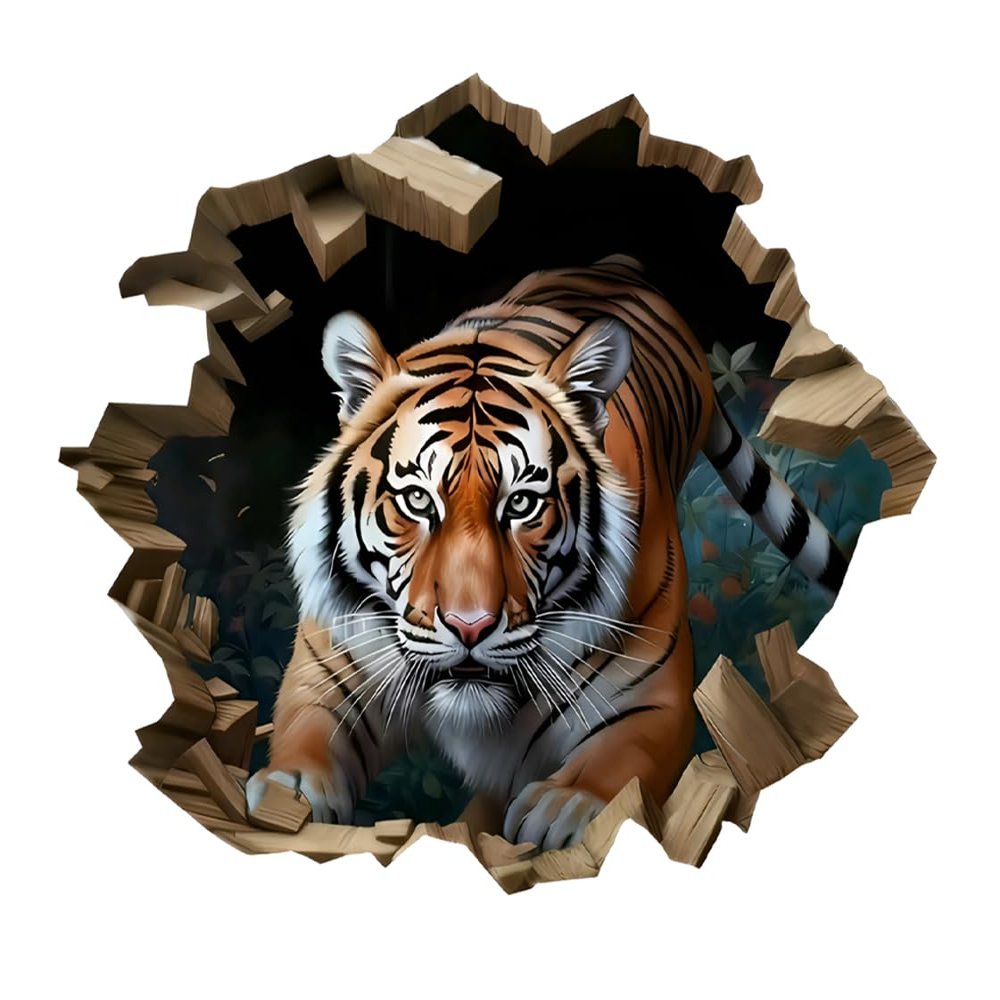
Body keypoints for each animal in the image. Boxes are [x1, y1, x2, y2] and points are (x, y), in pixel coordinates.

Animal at [245, 254, 848, 851]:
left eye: (522, 503)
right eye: (417, 499)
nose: (469, 627)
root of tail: (621, 264)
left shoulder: (652, 698)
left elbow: (620, 762)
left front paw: (566, 805)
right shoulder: (330, 668)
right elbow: (307, 729)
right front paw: (287, 791)